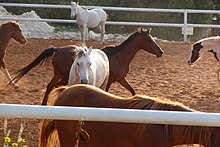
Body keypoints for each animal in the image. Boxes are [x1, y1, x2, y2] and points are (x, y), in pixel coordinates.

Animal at [9, 28, 163, 105]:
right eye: (149, 40)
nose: (161, 52)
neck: (119, 57)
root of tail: (57, 49)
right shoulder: (109, 81)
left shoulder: (121, 79)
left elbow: (133, 91)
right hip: (61, 75)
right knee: (51, 86)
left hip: (61, 76)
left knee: (53, 86)